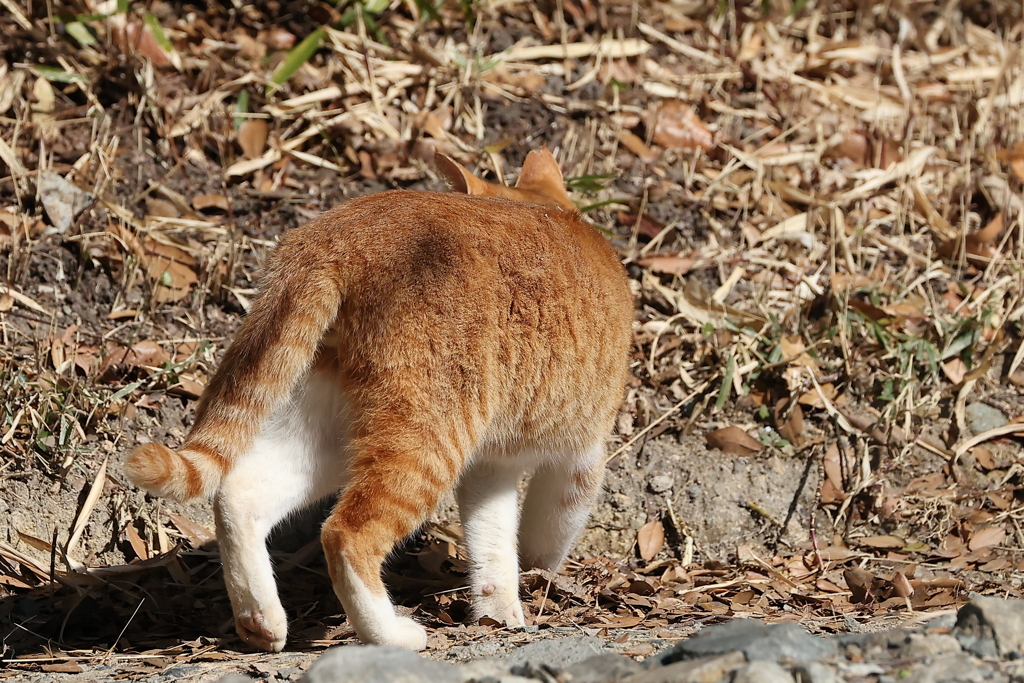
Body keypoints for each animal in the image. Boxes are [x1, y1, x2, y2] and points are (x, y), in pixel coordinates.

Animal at [124, 149, 634, 651]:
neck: (544, 208)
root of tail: (337, 233)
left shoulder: (492, 467)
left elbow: (491, 542)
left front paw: (500, 613)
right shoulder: (582, 453)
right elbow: (549, 529)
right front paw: (538, 580)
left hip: (333, 427)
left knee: (238, 494)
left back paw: (260, 621)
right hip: (428, 432)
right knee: (346, 534)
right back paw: (389, 634)